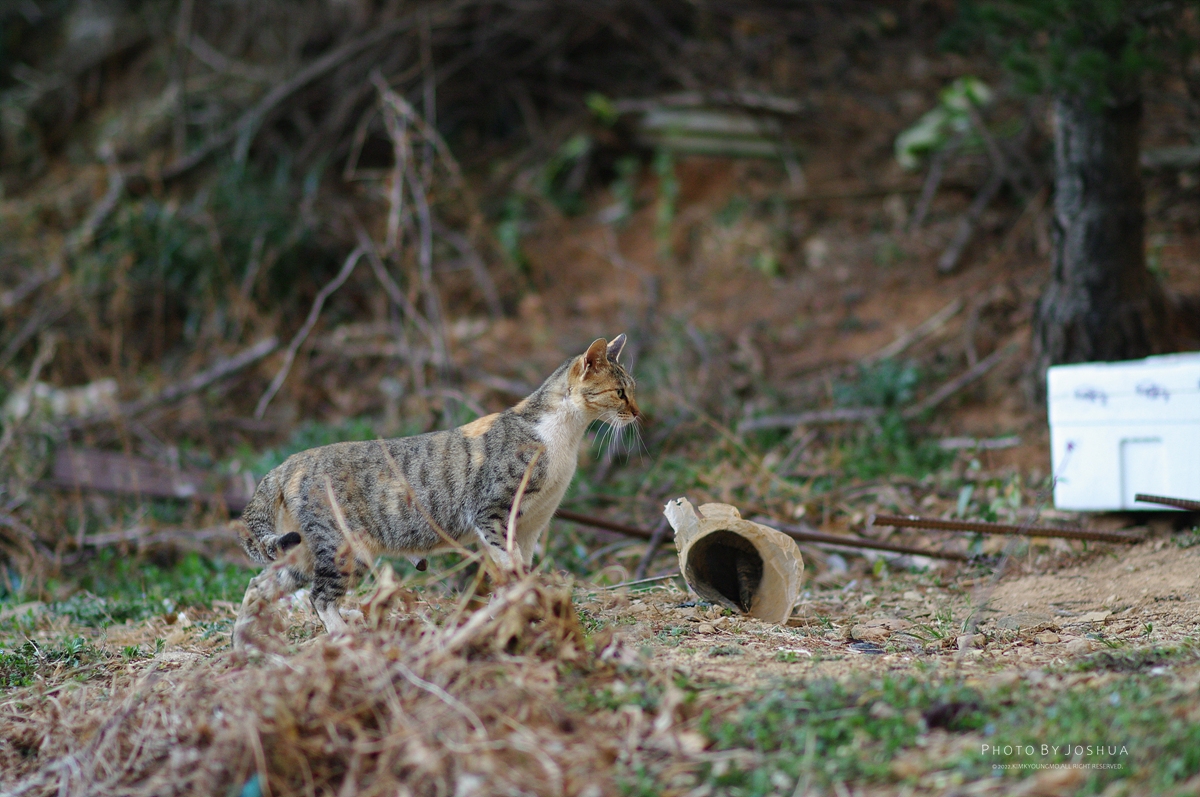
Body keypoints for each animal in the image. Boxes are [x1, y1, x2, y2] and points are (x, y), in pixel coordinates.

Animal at [234, 334, 639, 634]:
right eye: (620, 392)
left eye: (632, 389)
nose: (637, 412)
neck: (561, 440)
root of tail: (288, 462)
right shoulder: (490, 512)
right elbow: (507, 563)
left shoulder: (531, 525)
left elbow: (517, 569)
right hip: (343, 546)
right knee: (318, 597)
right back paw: (344, 636)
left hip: (303, 549)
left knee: (259, 586)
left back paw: (246, 646)